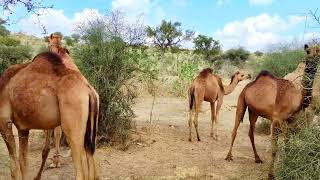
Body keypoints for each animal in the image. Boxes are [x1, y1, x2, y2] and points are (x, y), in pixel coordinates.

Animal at [0, 45, 99, 180]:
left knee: (80, 171)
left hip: (73, 128)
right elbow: (23, 162)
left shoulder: (4, 121)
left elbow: (14, 167)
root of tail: (89, 91)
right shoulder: (23, 128)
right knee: (91, 158)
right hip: (90, 127)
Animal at [225, 44, 320, 179]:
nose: (312, 61)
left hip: (254, 112)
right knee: (235, 129)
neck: (295, 99)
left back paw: (257, 158)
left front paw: (286, 167)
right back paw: (228, 156)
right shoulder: (276, 120)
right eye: (307, 51)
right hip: (241, 101)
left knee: (250, 132)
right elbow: (274, 148)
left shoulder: (290, 120)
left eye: (319, 52)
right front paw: (271, 175)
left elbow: (287, 146)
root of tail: (248, 86)